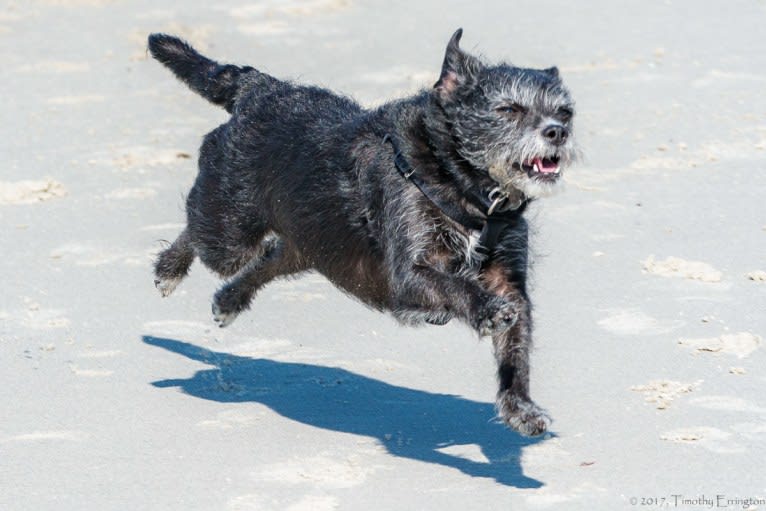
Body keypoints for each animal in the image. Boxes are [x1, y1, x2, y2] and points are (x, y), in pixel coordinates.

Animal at [148, 29, 576, 436]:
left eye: (565, 112)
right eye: (508, 109)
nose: (557, 132)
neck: (459, 182)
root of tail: (258, 89)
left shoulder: (509, 282)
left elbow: (516, 349)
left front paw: (520, 408)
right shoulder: (409, 274)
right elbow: (458, 286)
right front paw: (487, 310)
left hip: (311, 243)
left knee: (271, 257)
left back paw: (230, 300)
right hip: (230, 232)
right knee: (199, 230)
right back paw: (169, 269)